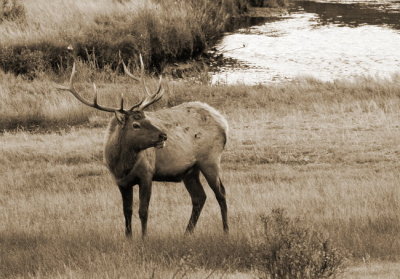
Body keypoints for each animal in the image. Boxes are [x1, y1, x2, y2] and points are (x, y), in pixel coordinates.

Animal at [57, 57, 230, 238]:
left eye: (147, 117)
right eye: (136, 124)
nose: (163, 136)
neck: (121, 165)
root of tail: (223, 122)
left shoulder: (146, 174)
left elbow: (143, 210)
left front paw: (144, 237)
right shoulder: (121, 182)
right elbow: (127, 211)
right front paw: (128, 237)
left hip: (210, 160)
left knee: (221, 193)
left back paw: (225, 230)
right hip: (190, 170)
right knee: (199, 197)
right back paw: (187, 233)